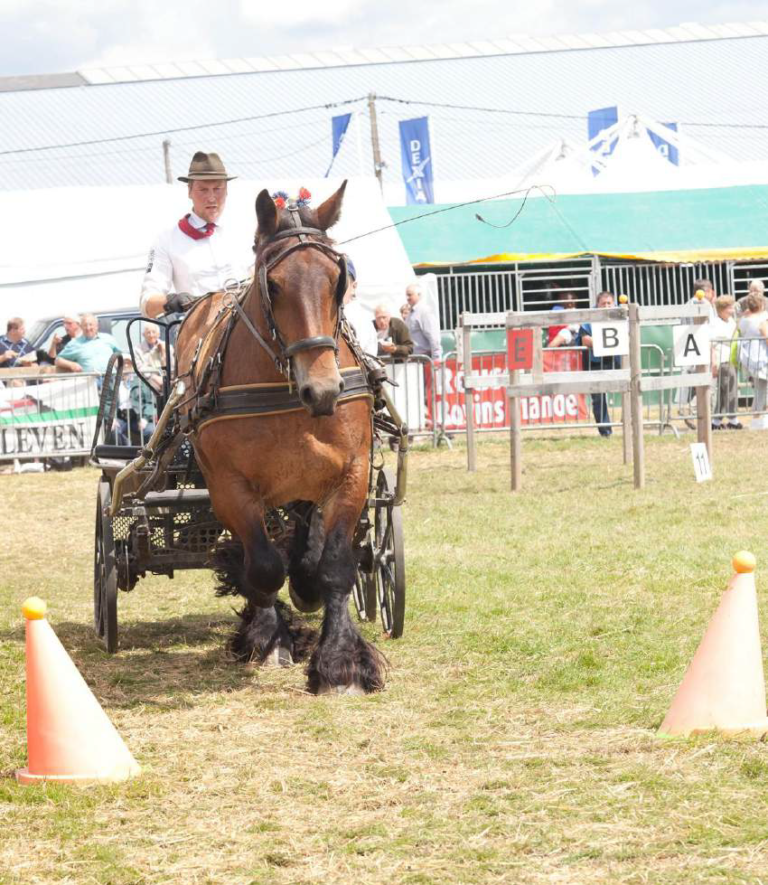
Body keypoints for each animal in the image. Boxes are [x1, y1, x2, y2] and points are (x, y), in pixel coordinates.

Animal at [177, 183, 388, 696]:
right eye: (272, 285)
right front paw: (271, 638)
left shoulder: (350, 474)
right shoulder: (229, 487)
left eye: (338, 279)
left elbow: (333, 566)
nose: (324, 389)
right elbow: (264, 566)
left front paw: (340, 664)